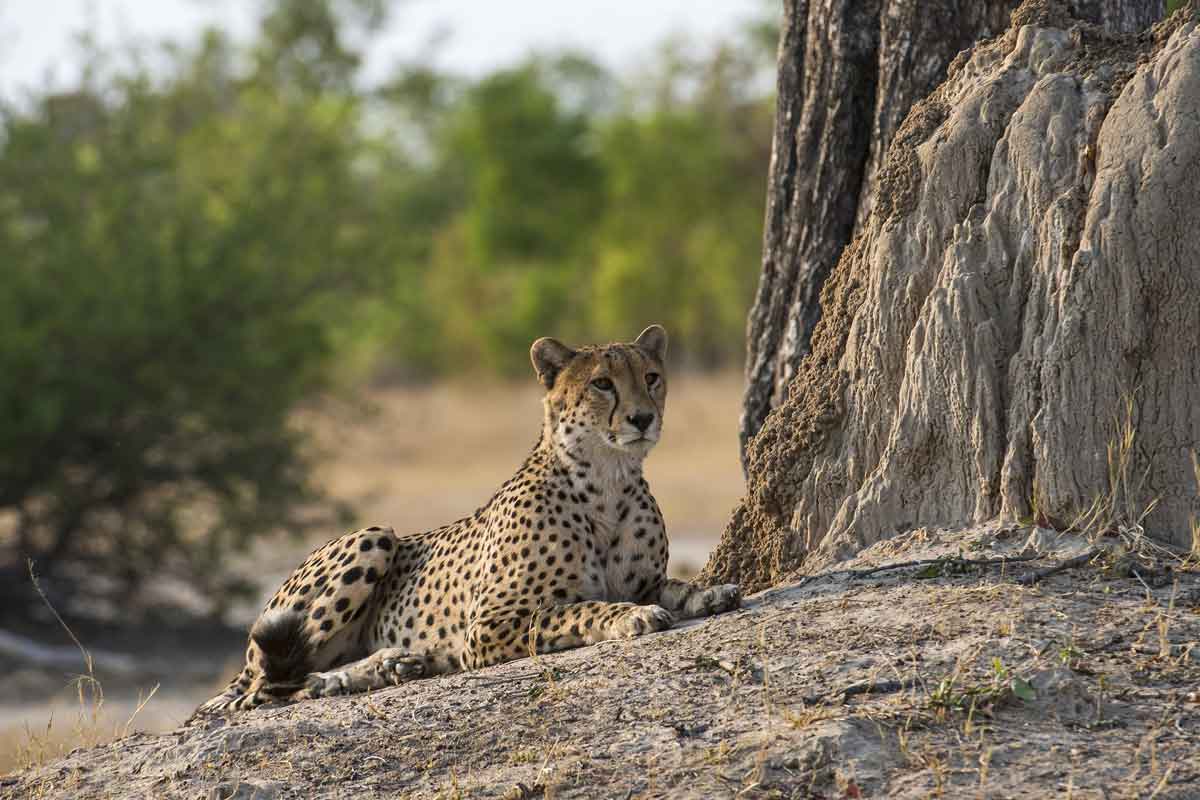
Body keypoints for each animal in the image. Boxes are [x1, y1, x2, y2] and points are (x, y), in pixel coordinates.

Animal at [198, 326, 739, 714]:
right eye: (602, 384)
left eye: (651, 378)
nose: (643, 418)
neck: (607, 480)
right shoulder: (488, 626)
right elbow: (580, 608)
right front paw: (629, 616)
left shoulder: (643, 579)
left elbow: (671, 585)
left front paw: (708, 592)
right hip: (373, 536)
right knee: (264, 689)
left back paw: (390, 666)